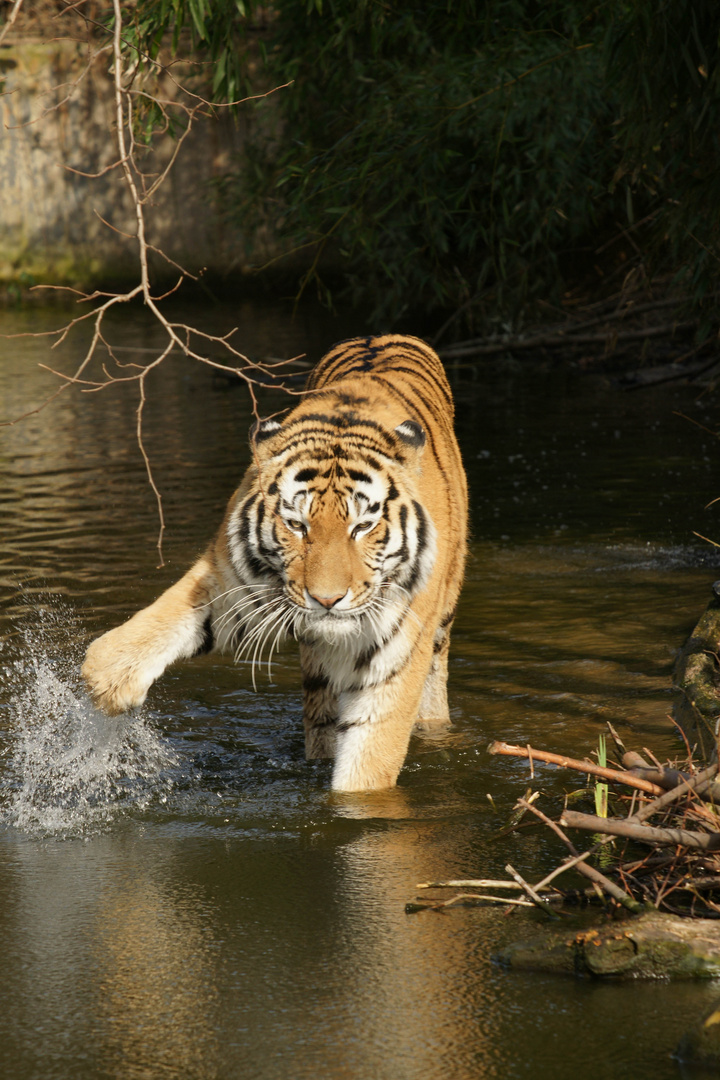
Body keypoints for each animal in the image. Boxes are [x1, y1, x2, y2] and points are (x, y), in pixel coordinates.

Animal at [83, 334, 468, 794]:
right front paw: (109, 680)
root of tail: (381, 336)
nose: (326, 600)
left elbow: (368, 764)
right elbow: (166, 616)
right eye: (297, 525)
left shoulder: (395, 653)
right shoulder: (234, 585)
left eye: (362, 527)